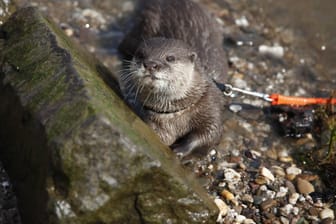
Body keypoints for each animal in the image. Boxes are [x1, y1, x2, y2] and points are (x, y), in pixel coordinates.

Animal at [119, 0, 228, 156]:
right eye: (141, 55)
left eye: (170, 58)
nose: (150, 64)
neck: (175, 115)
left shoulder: (211, 107)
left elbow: (210, 134)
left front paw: (181, 149)